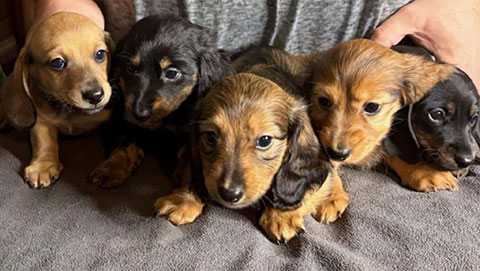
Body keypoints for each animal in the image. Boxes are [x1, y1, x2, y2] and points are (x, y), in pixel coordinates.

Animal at [0, 12, 114, 189]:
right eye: (58, 62)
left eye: (100, 54)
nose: (95, 95)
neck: (70, 109)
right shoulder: (41, 120)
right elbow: (43, 141)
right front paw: (43, 166)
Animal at [88, 15, 236, 189]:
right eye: (130, 68)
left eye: (171, 73)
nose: (139, 113)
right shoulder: (126, 119)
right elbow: (123, 141)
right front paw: (110, 169)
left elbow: (189, 151)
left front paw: (185, 178)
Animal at [153, 63, 330, 242]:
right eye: (211, 136)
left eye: (265, 140)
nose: (229, 194)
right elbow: (191, 170)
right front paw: (183, 199)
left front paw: (281, 215)